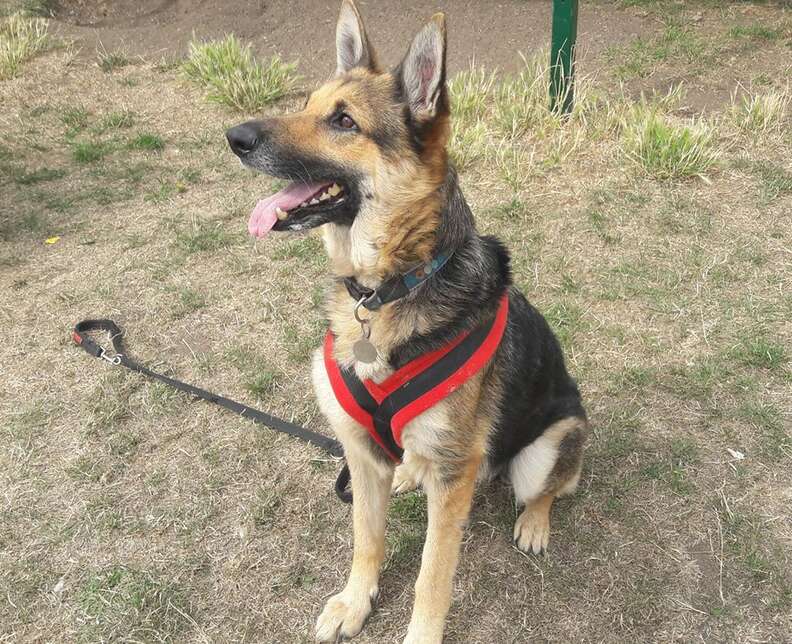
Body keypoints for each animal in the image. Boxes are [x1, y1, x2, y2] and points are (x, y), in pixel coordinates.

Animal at [226, 2, 584, 640]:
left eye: (344, 121)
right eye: (307, 105)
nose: (234, 137)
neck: (386, 290)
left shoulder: (452, 482)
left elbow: (431, 575)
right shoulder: (359, 454)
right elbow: (366, 539)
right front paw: (355, 601)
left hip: (552, 441)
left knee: (549, 486)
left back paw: (535, 522)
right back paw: (409, 471)